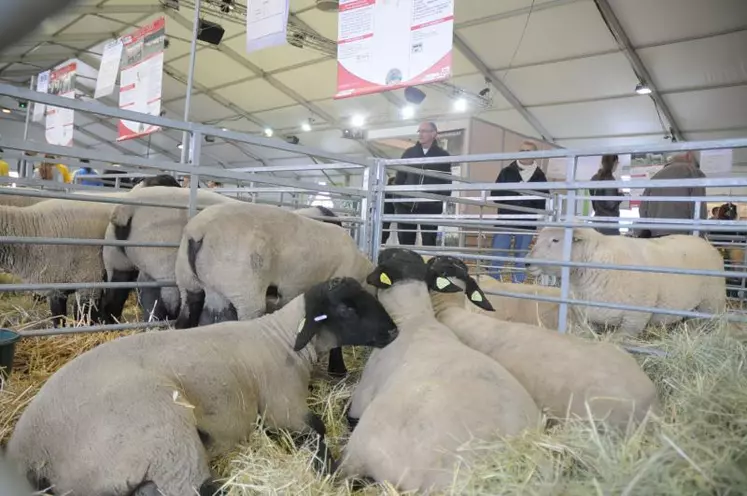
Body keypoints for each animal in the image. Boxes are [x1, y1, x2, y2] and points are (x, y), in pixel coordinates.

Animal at [7, 276, 404, 496]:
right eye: (348, 308)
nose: (393, 332)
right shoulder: (283, 407)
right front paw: (327, 468)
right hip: (162, 426)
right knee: (196, 487)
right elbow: (318, 428)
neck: (281, 338)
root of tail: (27, 453)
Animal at [524, 227, 728, 336]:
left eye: (555, 240)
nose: (526, 262)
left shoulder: (634, 319)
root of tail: (707, 243)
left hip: (711, 303)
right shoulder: (587, 317)